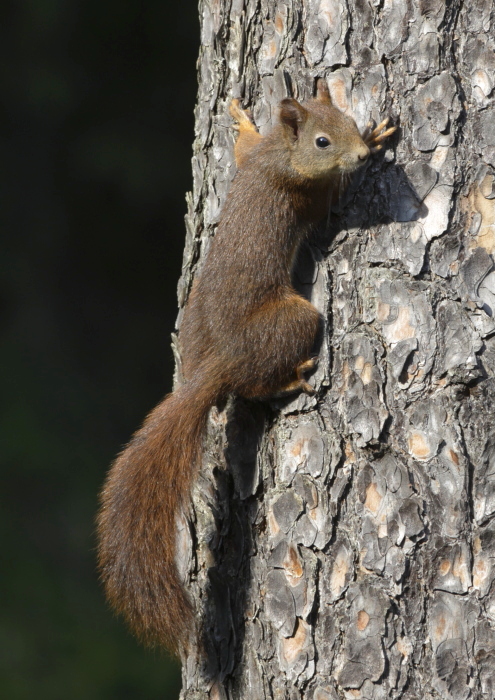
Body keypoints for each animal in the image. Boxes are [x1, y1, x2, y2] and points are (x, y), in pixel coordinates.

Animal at [97, 79, 398, 652]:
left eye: (346, 119)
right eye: (323, 141)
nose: (359, 151)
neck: (281, 154)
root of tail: (217, 364)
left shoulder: (255, 158)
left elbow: (241, 148)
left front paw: (242, 121)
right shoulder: (306, 194)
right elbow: (332, 200)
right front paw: (376, 144)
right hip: (297, 320)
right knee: (258, 383)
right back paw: (295, 378)